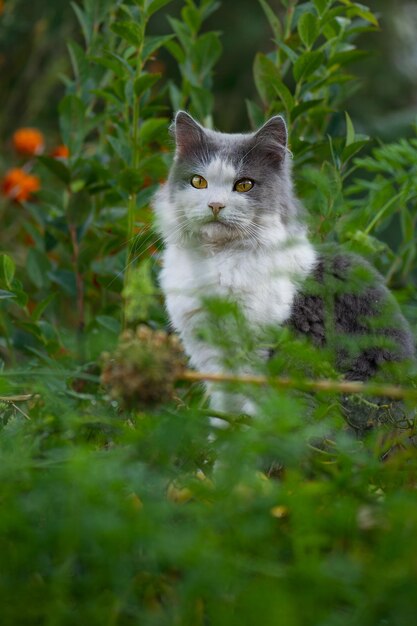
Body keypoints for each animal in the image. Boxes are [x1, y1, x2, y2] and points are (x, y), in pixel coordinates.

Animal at [154, 111, 416, 428]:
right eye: (198, 181)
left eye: (244, 185)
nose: (215, 205)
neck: (218, 260)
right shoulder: (213, 362)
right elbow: (224, 419)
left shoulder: (257, 357)